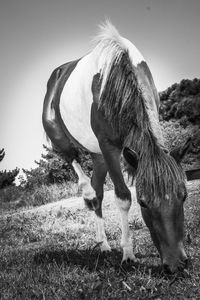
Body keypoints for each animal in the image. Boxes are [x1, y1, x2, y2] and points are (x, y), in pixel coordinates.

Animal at [43, 21, 191, 274]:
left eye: (184, 195)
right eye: (143, 202)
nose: (176, 265)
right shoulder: (109, 146)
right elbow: (122, 196)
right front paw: (128, 254)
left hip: (98, 155)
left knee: (99, 192)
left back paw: (103, 244)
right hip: (60, 136)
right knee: (74, 162)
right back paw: (88, 194)